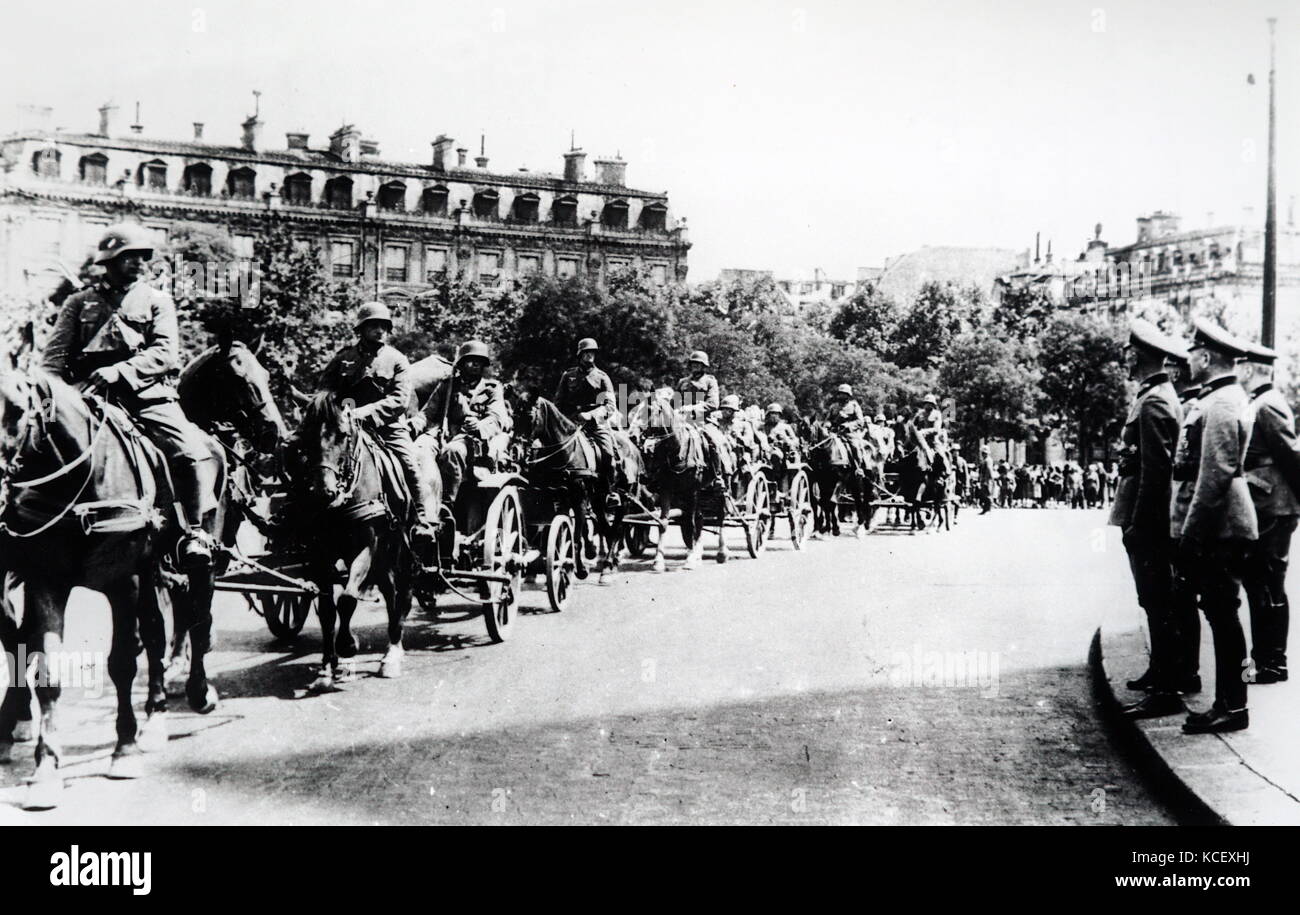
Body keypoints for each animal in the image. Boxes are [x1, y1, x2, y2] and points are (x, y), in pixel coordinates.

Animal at [0, 361, 226, 805]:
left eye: (16, 409)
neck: (80, 486)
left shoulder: (125, 580)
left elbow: (122, 661)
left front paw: (124, 751)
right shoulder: (45, 582)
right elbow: (46, 668)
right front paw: (46, 769)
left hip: (198, 558)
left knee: (196, 621)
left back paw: (198, 693)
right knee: (159, 635)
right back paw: (155, 716)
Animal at [289, 392, 431, 686]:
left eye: (343, 435)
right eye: (305, 437)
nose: (323, 491)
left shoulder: (366, 547)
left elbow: (347, 599)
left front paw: (347, 646)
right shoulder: (319, 555)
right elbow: (327, 610)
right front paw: (326, 667)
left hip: (403, 550)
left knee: (403, 594)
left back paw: (393, 652)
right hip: (384, 559)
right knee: (389, 591)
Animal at [512, 395, 644, 582]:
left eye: (530, 416)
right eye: (514, 415)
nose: (516, 451)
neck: (566, 453)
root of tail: (634, 449)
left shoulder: (580, 500)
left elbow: (576, 537)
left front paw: (579, 569)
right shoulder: (561, 501)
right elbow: (569, 532)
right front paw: (586, 555)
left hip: (624, 500)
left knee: (616, 530)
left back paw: (607, 567)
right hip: (598, 501)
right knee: (606, 528)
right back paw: (610, 563)